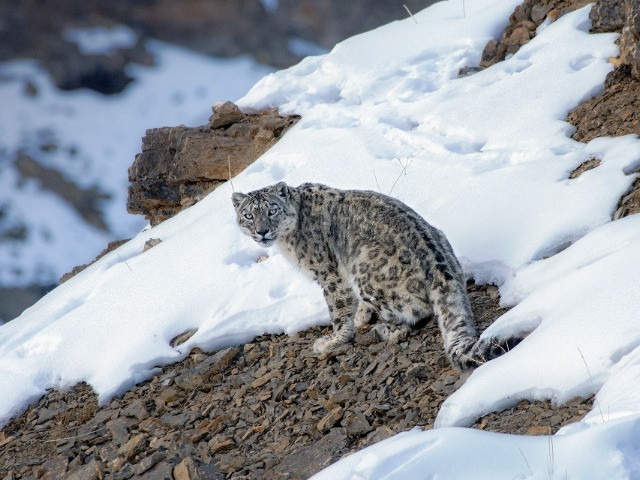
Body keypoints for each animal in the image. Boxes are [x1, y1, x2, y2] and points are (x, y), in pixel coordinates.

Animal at [231, 181, 516, 372]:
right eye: (249, 215)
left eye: (272, 210)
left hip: (365, 267)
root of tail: (441, 268)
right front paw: (360, 316)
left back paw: (384, 329)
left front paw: (332, 341)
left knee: (414, 315)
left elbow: (338, 310)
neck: (288, 242)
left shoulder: (331, 275)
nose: (261, 231)